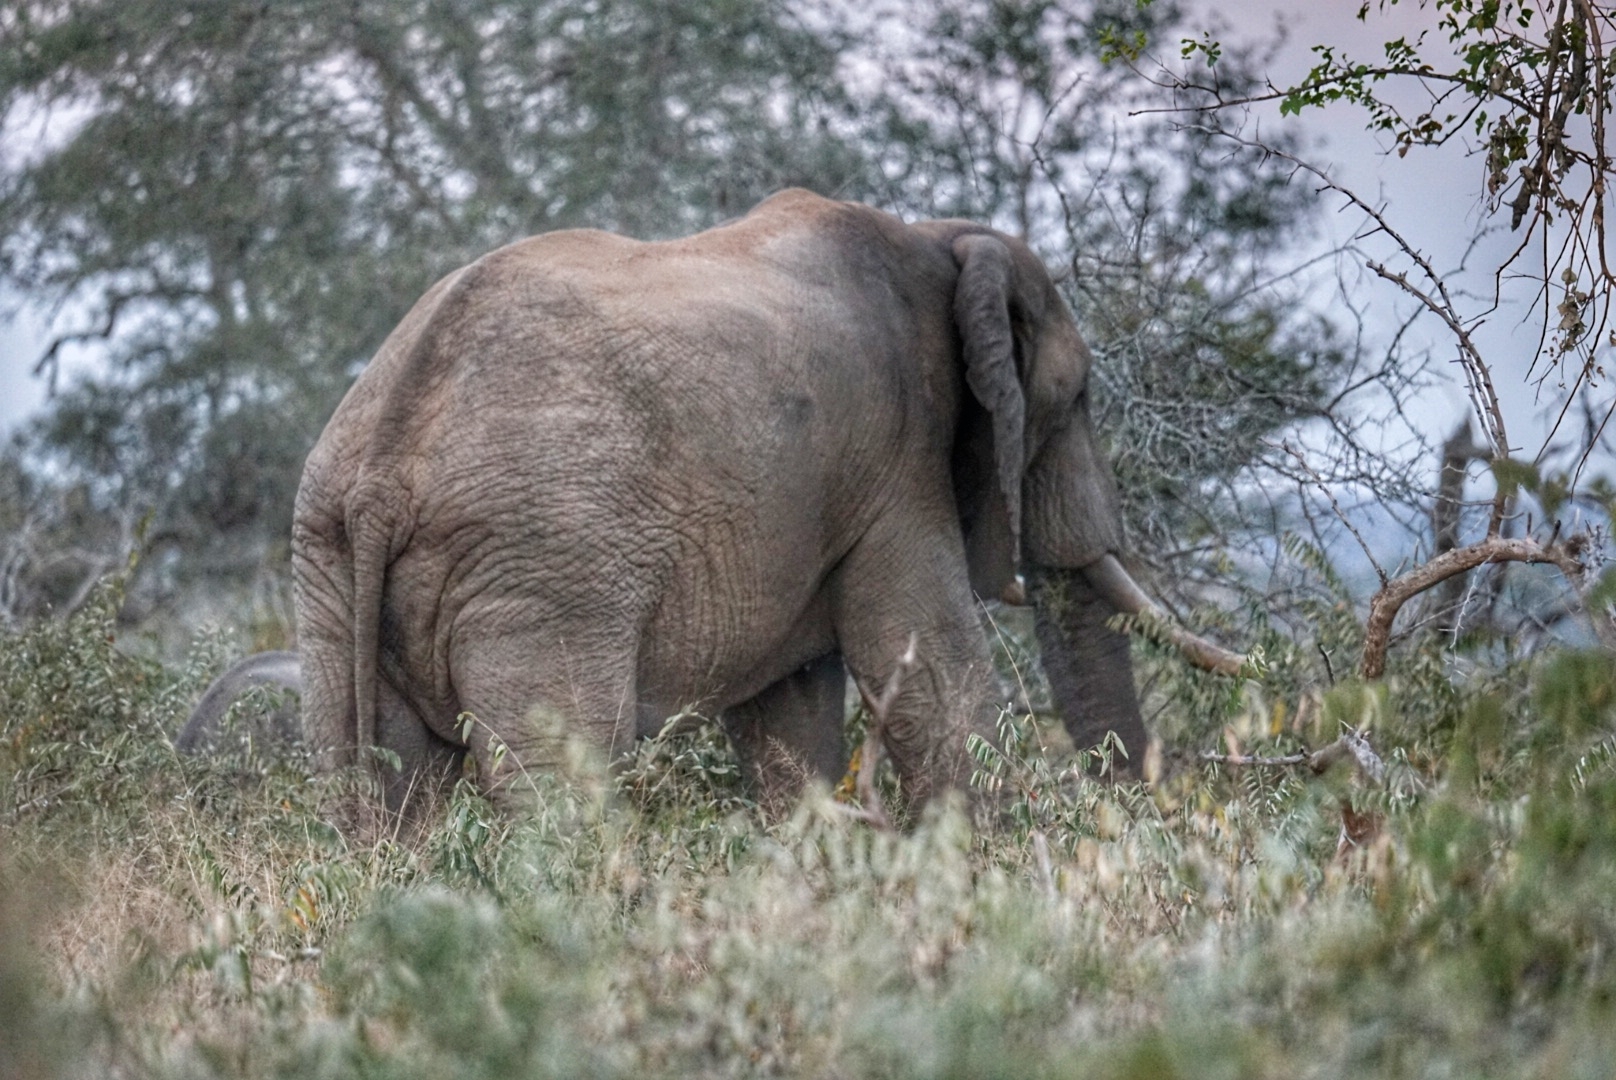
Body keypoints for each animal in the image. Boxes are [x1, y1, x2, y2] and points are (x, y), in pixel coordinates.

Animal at [195, 189, 1241, 814]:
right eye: (1078, 398)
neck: (941, 242)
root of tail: (382, 467)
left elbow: (791, 712)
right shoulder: (896, 461)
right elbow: (934, 669)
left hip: (328, 566)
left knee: (372, 784)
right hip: (542, 570)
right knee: (555, 780)